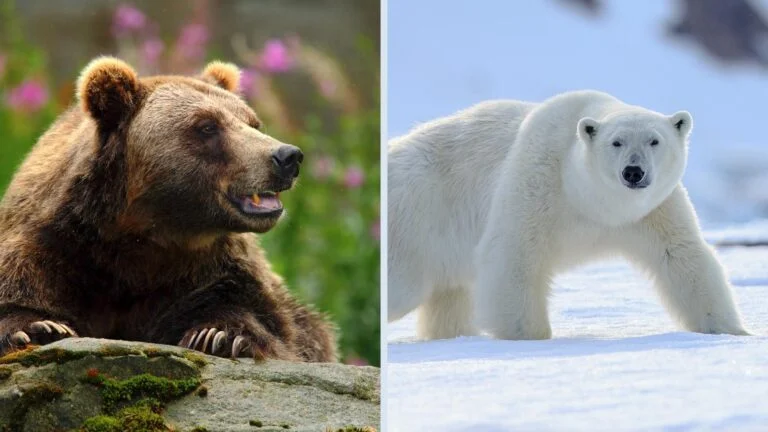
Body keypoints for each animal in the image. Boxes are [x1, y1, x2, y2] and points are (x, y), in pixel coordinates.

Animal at [0, 56, 340, 362]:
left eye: (253, 122)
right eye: (207, 126)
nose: (287, 156)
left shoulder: (210, 271)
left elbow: (273, 324)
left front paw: (220, 335)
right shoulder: (52, 247)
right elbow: (18, 292)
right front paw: (39, 327)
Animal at [388, 91, 748, 340]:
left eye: (654, 140)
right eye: (616, 142)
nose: (634, 172)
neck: (591, 201)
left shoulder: (653, 210)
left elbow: (682, 257)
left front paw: (732, 332)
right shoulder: (538, 180)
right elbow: (515, 254)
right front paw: (529, 335)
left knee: (450, 298)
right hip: (418, 215)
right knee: (403, 285)